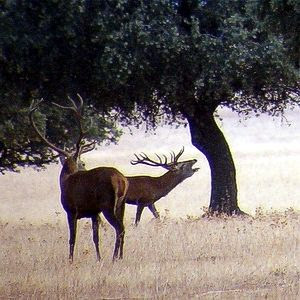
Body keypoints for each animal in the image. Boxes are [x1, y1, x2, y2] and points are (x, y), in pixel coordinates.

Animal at [29, 96, 129, 262]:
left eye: (82, 163)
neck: (65, 180)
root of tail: (121, 180)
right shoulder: (94, 213)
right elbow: (96, 238)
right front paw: (98, 259)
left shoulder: (71, 210)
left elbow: (72, 238)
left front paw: (70, 260)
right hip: (121, 204)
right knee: (123, 227)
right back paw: (120, 257)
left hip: (107, 204)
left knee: (119, 228)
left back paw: (114, 258)